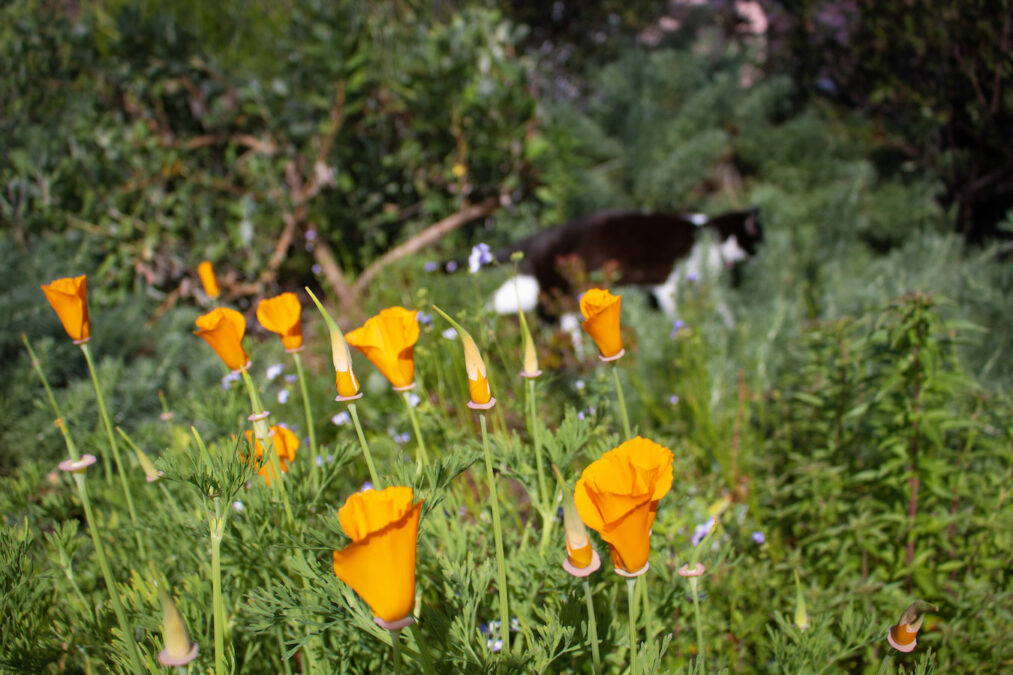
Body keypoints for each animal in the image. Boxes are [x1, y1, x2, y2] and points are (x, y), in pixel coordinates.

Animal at [488, 206, 761, 320]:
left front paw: (730, 326)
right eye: (758, 237)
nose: (760, 254)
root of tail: (538, 238)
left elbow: (722, 306)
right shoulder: (668, 284)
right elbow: (677, 310)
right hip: (558, 291)